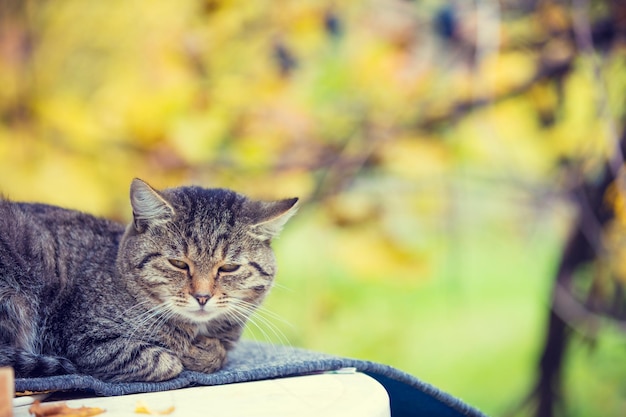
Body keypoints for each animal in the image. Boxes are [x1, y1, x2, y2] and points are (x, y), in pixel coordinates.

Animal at [0, 177, 296, 382]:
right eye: (178, 263)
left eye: (229, 268)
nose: (202, 297)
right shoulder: (84, 339)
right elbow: (165, 361)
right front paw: (188, 351)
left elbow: (216, 353)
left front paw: (204, 350)